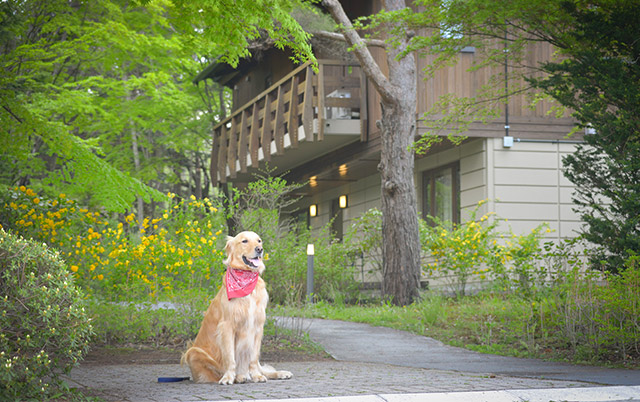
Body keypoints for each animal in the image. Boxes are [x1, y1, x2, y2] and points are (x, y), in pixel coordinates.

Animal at [181, 231, 294, 384]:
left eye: (259, 241)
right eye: (244, 241)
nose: (259, 249)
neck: (246, 280)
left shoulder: (258, 327)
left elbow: (254, 359)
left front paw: (256, 376)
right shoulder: (227, 326)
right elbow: (230, 357)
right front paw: (229, 377)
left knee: (260, 367)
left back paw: (277, 373)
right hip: (193, 352)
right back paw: (238, 377)